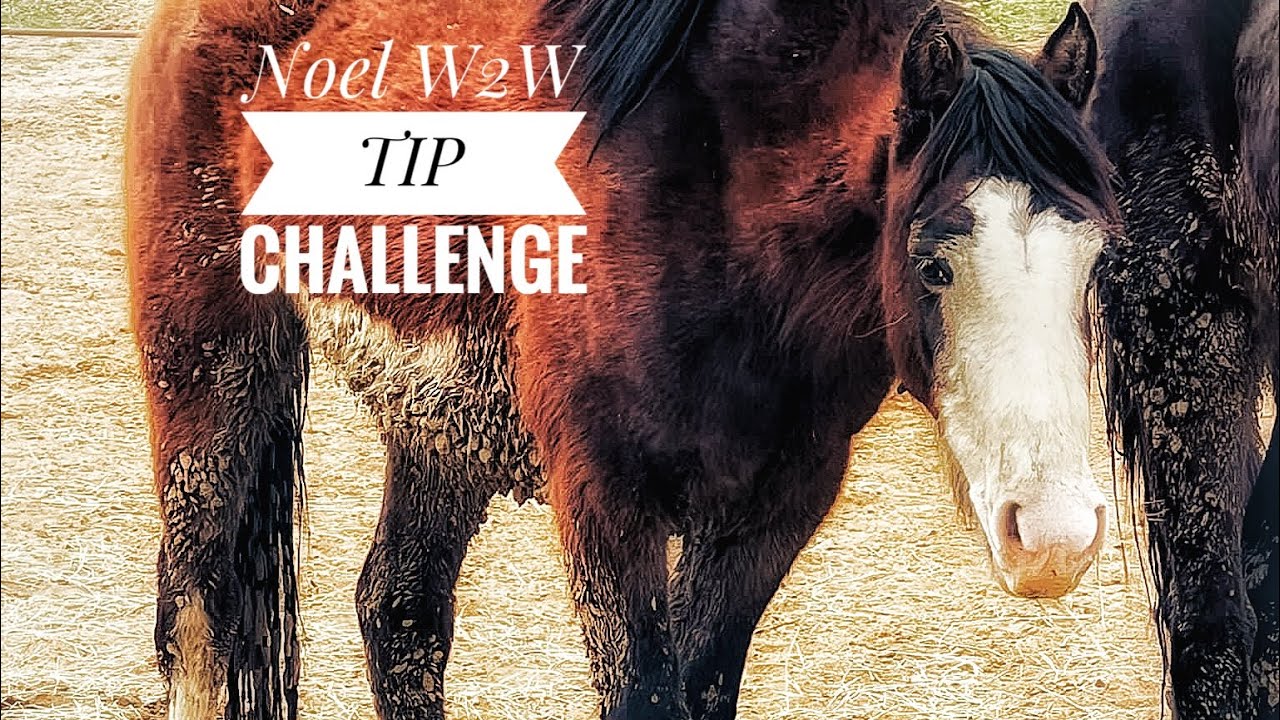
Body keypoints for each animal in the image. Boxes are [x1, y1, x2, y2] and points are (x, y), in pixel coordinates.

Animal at [124, 1, 1118, 718]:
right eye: (933, 261)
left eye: (1096, 259)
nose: (1054, 537)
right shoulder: (606, 505)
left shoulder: (767, 519)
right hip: (208, 373)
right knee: (203, 619)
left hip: (437, 421)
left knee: (399, 614)